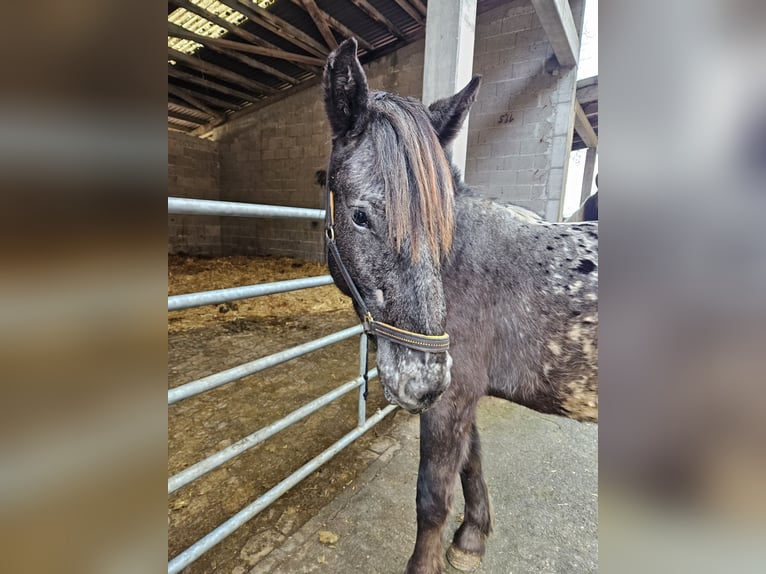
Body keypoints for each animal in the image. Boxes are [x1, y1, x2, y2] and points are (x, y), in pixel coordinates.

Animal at [320, 38, 596, 572]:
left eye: (442, 220)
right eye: (360, 216)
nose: (421, 380)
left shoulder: (452, 397)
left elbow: (433, 496)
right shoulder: (461, 393)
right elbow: (472, 461)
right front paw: (472, 537)